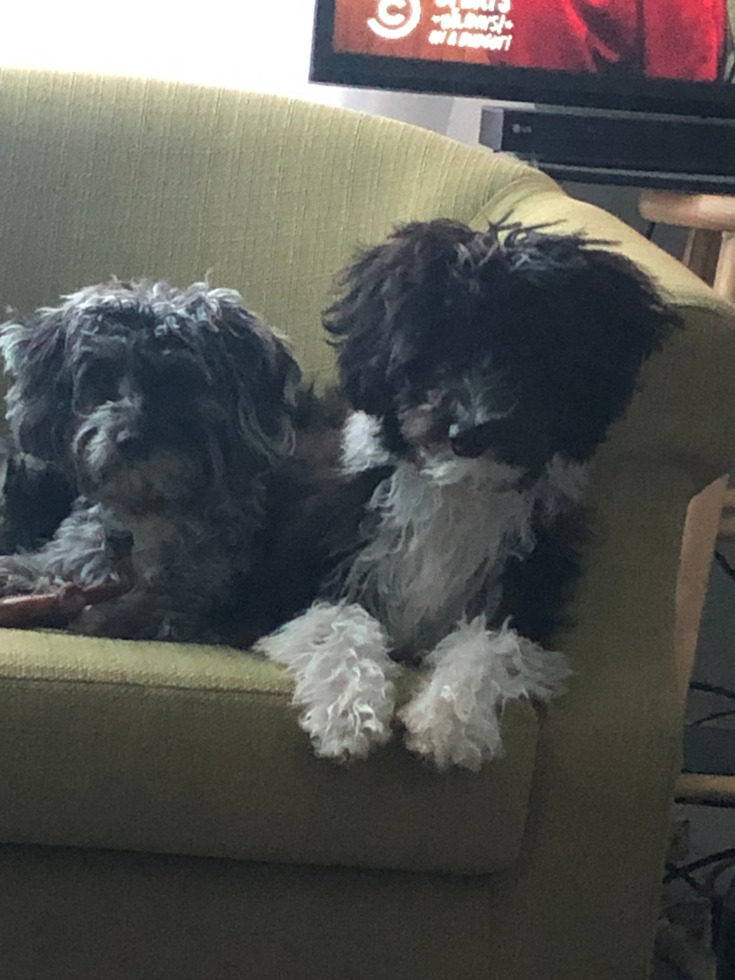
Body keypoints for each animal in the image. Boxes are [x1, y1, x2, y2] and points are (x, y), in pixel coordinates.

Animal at [256, 218, 680, 768]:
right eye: (435, 350)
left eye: (530, 351)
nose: (469, 431)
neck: (459, 487)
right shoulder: (301, 582)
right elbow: (341, 623)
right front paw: (348, 715)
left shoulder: (526, 604)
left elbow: (492, 645)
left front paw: (447, 726)